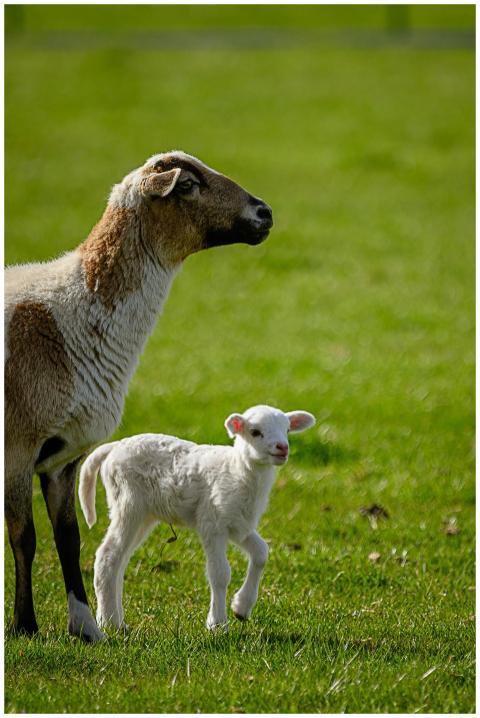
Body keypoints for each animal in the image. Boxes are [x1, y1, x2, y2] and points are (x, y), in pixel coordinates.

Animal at [5, 151, 273, 641]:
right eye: (187, 185)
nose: (264, 214)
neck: (70, 315)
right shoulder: (19, 444)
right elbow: (24, 537)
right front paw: (24, 625)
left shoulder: (62, 457)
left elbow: (68, 538)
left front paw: (85, 626)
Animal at [78, 405, 315, 631]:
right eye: (255, 432)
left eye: (287, 429)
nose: (282, 448)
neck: (238, 471)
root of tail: (114, 447)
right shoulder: (213, 521)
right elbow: (220, 573)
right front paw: (217, 624)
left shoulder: (238, 524)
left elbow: (261, 553)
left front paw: (241, 608)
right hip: (128, 503)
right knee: (107, 555)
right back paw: (108, 622)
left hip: (144, 515)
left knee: (120, 561)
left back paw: (117, 621)